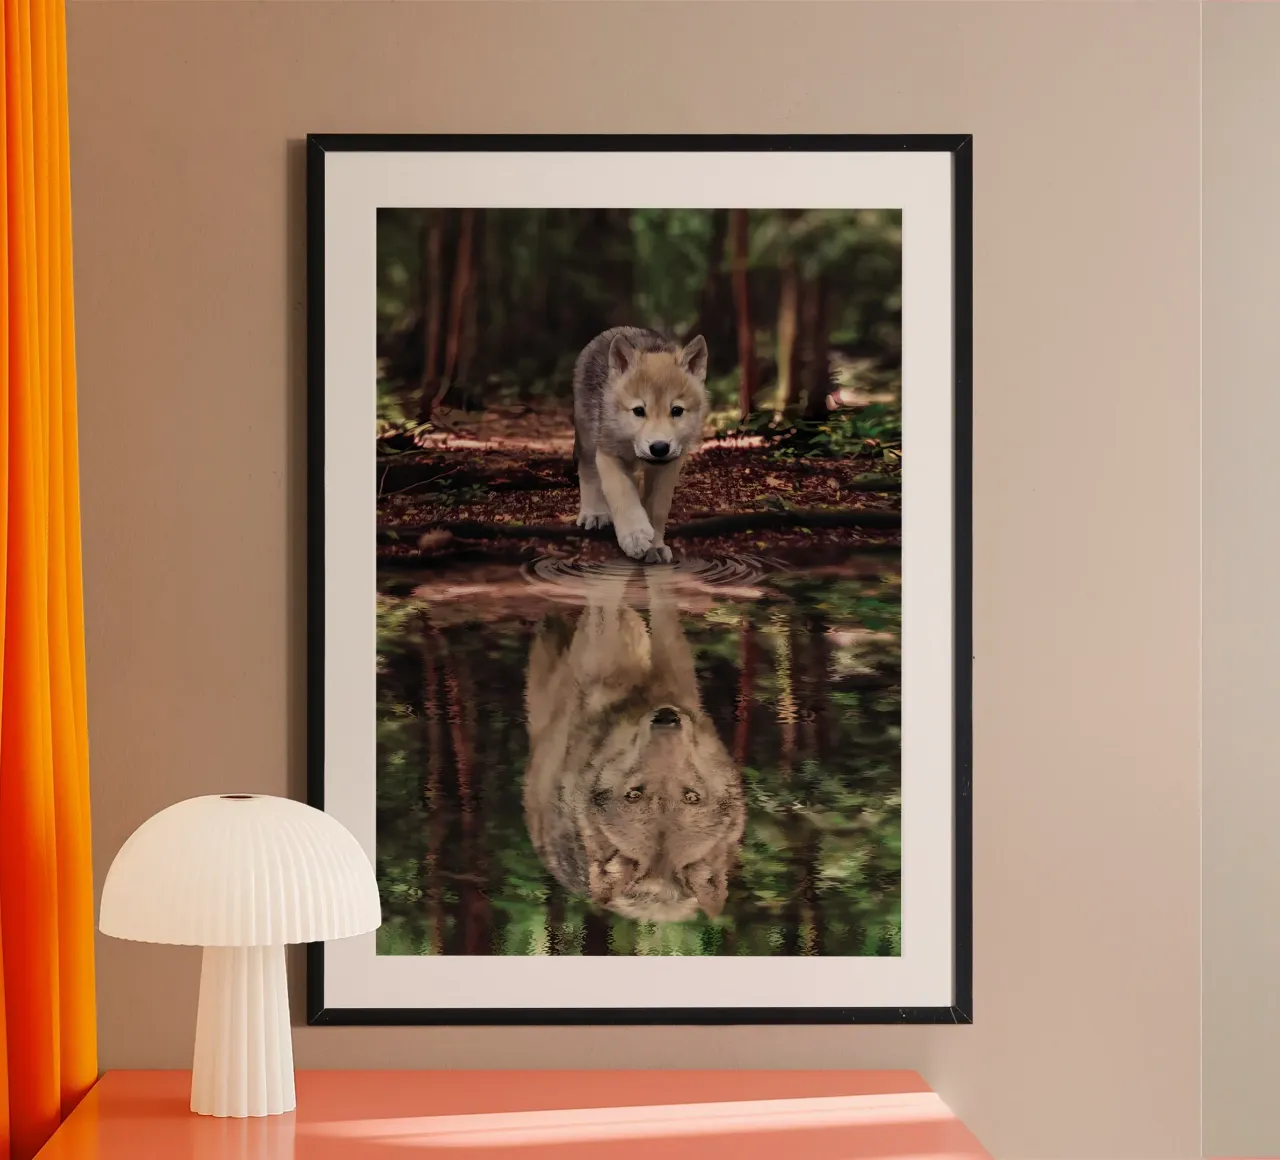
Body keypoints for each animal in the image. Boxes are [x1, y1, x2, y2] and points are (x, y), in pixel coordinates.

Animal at [572, 327, 709, 564]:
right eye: (638, 411)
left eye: (676, 410)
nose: (659, 447)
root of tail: (615, 330)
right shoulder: (607, 453)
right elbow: (622, 492)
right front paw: (634, 536)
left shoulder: (669, 464)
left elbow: (657, 507)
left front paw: (655, 546)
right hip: (588, 437)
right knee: (587, 470)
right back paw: (594, 514)